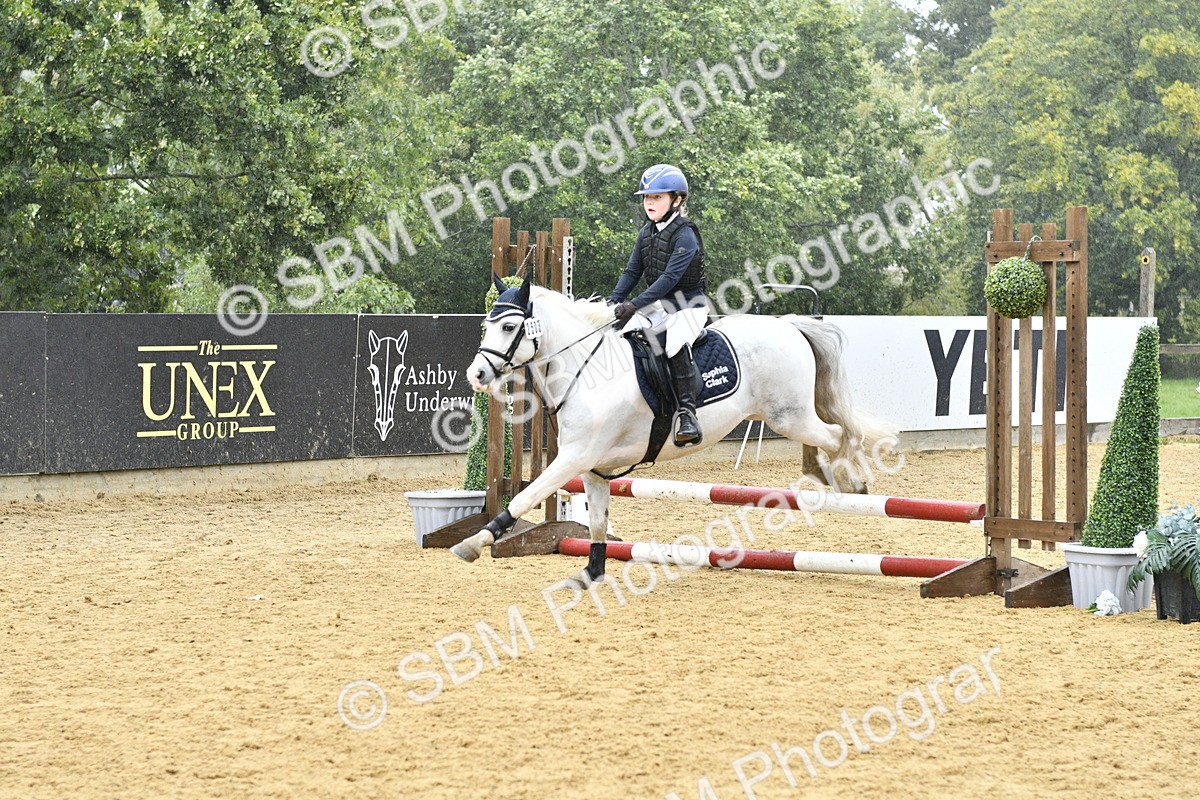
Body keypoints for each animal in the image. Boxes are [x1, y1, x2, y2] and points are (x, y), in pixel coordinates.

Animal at [451, 277, 894, 580]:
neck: (586, 369)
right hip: (789, 416)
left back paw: (849, 481)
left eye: (509, 328)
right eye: (488, 324)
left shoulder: (574, 458)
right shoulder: (592, 467)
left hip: (789, 415)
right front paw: (593, 573)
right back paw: (831, 477)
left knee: (838, 435)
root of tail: (788, 325)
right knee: (833, 435)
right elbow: (597, 522)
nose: (476, 374)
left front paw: (474, 542)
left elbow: (525, 496)